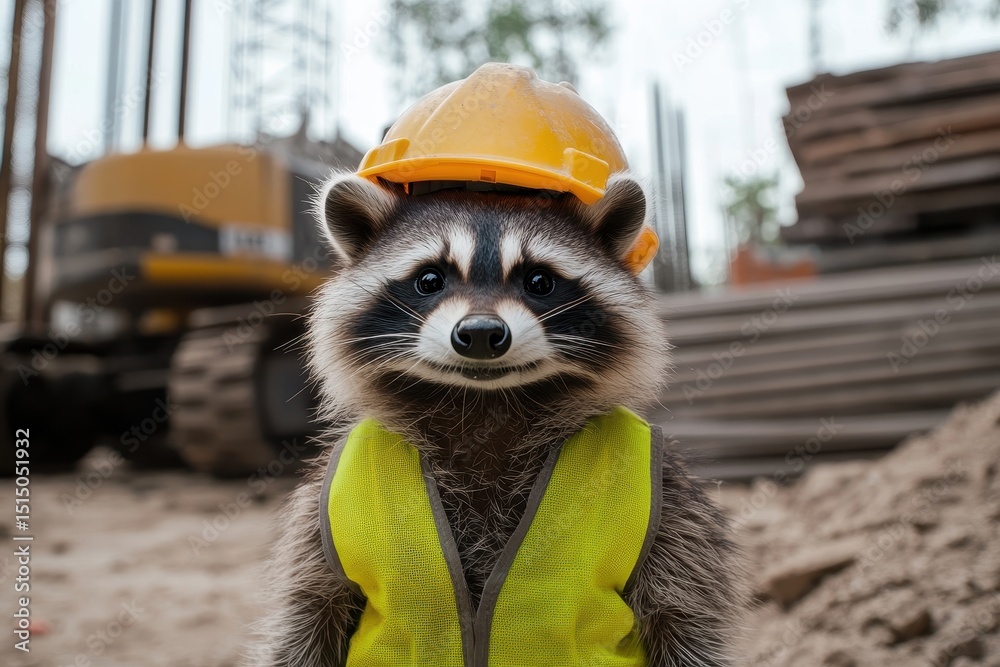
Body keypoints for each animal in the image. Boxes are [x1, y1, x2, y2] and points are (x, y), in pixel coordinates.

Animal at [247, 173, 745, 666]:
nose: (481, 333)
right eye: (429, 279)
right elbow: (305, 614)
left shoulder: (668, 506)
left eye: (540, 281)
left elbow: (684, 614)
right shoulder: (320, 515)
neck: (484, 405)